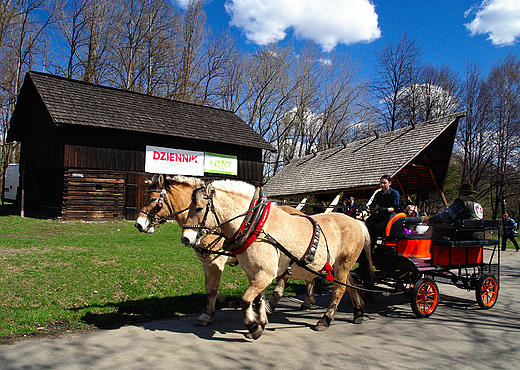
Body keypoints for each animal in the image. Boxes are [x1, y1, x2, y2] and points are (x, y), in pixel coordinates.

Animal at [134, 175, 316, 326]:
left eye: (153, 199)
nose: (138, 224)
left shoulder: (215, 260)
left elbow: (212, 288)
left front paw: (208, 315)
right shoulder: (206, 260)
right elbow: (209, 286)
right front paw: (228, 301)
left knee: (305, 277)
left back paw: (305, 301)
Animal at [183, 178, 374, 338]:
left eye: (199, 208)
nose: (185, 238)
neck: (256, 225)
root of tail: (357, 222)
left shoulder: (265, 274)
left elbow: (246, 300)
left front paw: (253, 327)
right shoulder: (253, 273)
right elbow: (257, 299)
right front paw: (260, 322)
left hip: (343, 264)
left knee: (339, 290)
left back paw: (325, 320)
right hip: (338, 265)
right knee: (349, 284)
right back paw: (358, 313)